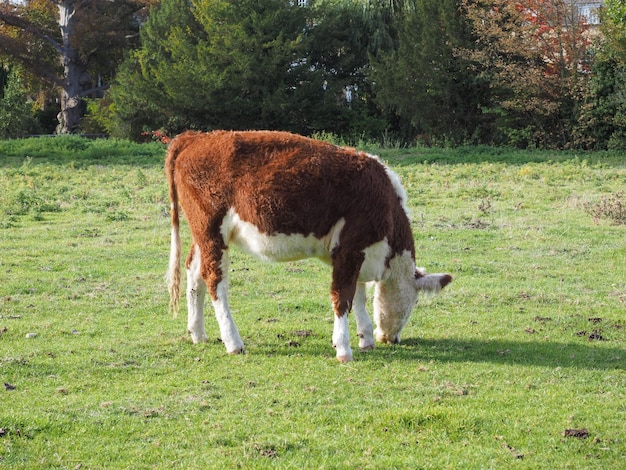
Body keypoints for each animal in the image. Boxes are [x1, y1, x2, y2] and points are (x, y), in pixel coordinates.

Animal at [165, 130, 448, 362]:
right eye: (414, 303)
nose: (392, 339)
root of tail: (196, 137)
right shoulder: (350, 249)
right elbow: (342, 297)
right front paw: (344, 349)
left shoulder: (356, 254)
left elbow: (358, 296)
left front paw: (366, 338)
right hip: (212, 229)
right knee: (215, 281)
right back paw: (233, 342)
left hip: (203, 233)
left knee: (194, 273)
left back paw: (198, 333)